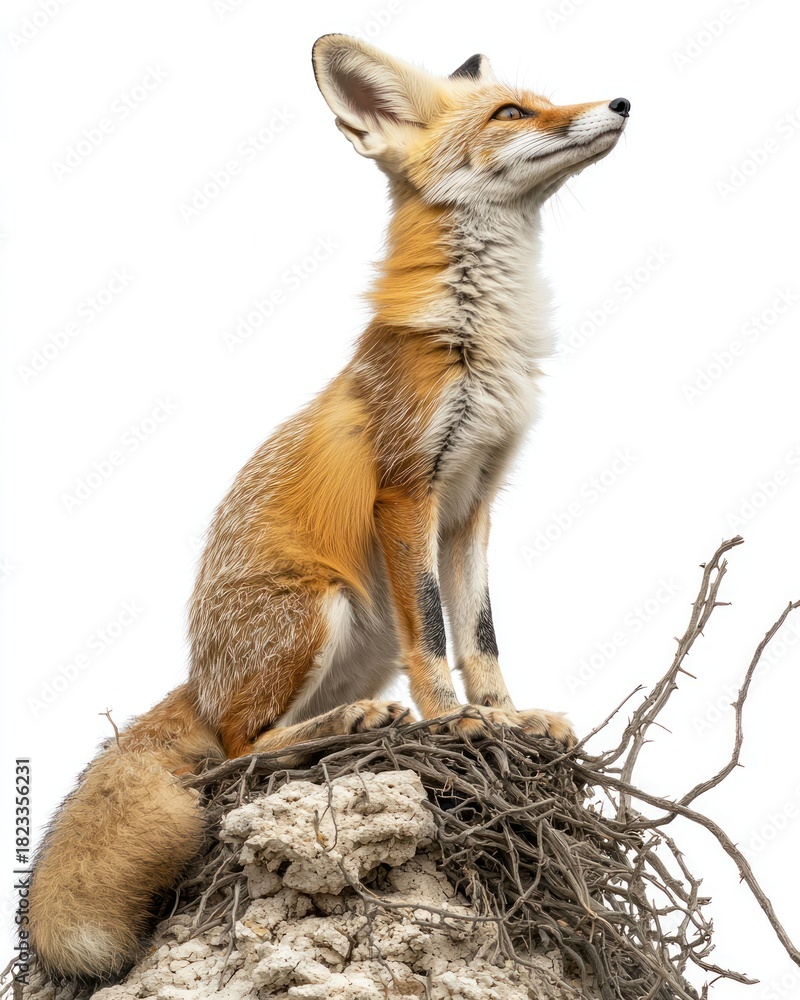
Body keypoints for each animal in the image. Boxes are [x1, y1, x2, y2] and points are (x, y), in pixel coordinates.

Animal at [27, 33, 629, 985]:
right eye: (512, 113)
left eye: (538, 101)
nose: (621, 104)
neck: (482, 333)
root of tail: (198, 678)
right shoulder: (408, 489)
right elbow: (436, 639)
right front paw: (454, 724)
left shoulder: (474, 503)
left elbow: (481, 638)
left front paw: (507, 718)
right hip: (322, 607)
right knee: (241, 750)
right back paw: (348, 725)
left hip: (359, 634)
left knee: (265, 738)